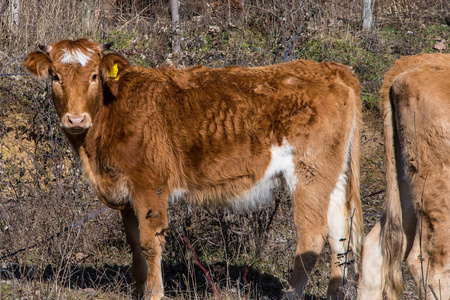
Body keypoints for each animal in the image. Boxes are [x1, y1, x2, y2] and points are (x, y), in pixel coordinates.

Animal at [23, 39, 362, 300]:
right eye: (55, 76)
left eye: (94, 75)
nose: (75, 119)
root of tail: (332, 68)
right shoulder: (125, 194)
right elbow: (134, 245)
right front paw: (139, 290)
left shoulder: (149, 186)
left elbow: (150, 243)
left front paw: (155, 293)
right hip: (332, 174)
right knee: (339, 230)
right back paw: (335, 293)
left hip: (309, 172)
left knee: (313, 235)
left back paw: (291, 293)